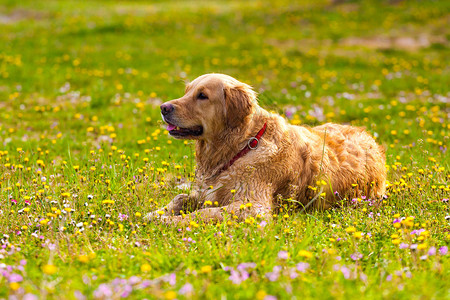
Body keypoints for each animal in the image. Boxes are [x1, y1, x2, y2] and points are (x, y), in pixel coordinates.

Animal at [146, 74, 384, 224]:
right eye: (187, 91)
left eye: (202, 96)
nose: (163, 108)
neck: (243, 146)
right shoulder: (207, 191)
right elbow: (180, 198)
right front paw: (155, 213)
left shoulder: (253, 207)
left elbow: (202, 214)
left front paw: (166, 221)